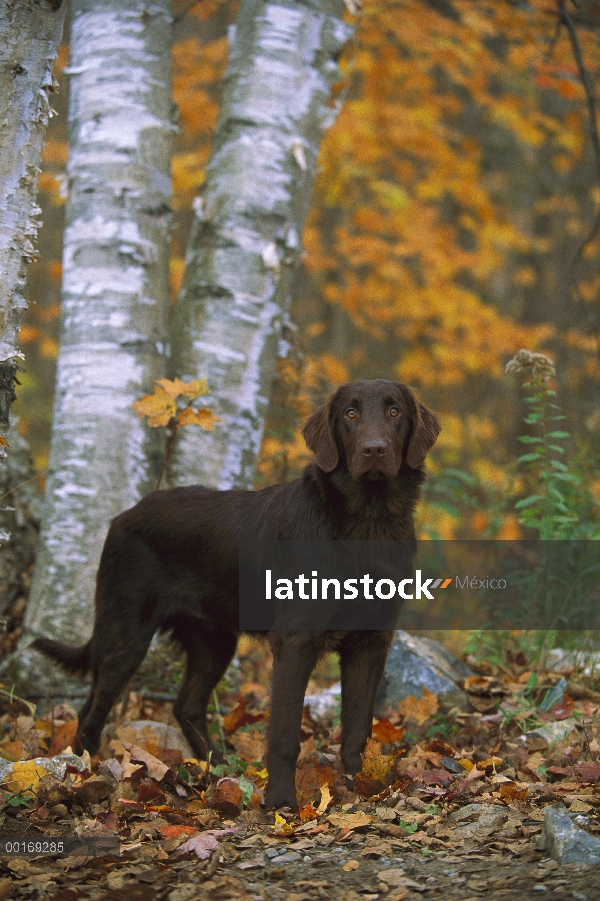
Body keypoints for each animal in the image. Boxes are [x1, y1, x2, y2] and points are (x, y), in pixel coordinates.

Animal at [32, 380, 438, 808]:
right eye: (350, 413)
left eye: (394, 412)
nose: (374, 449)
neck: (367, 521)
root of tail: (124, 515)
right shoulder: (296, 641)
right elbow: (285, 735)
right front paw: (281, 802)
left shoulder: (371, 642)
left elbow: (358, 727)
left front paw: (362, 785)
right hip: (126, 632)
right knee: (91, 712)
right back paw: (86, 773)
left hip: (214, 639)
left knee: (186, 705)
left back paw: (220, 768)